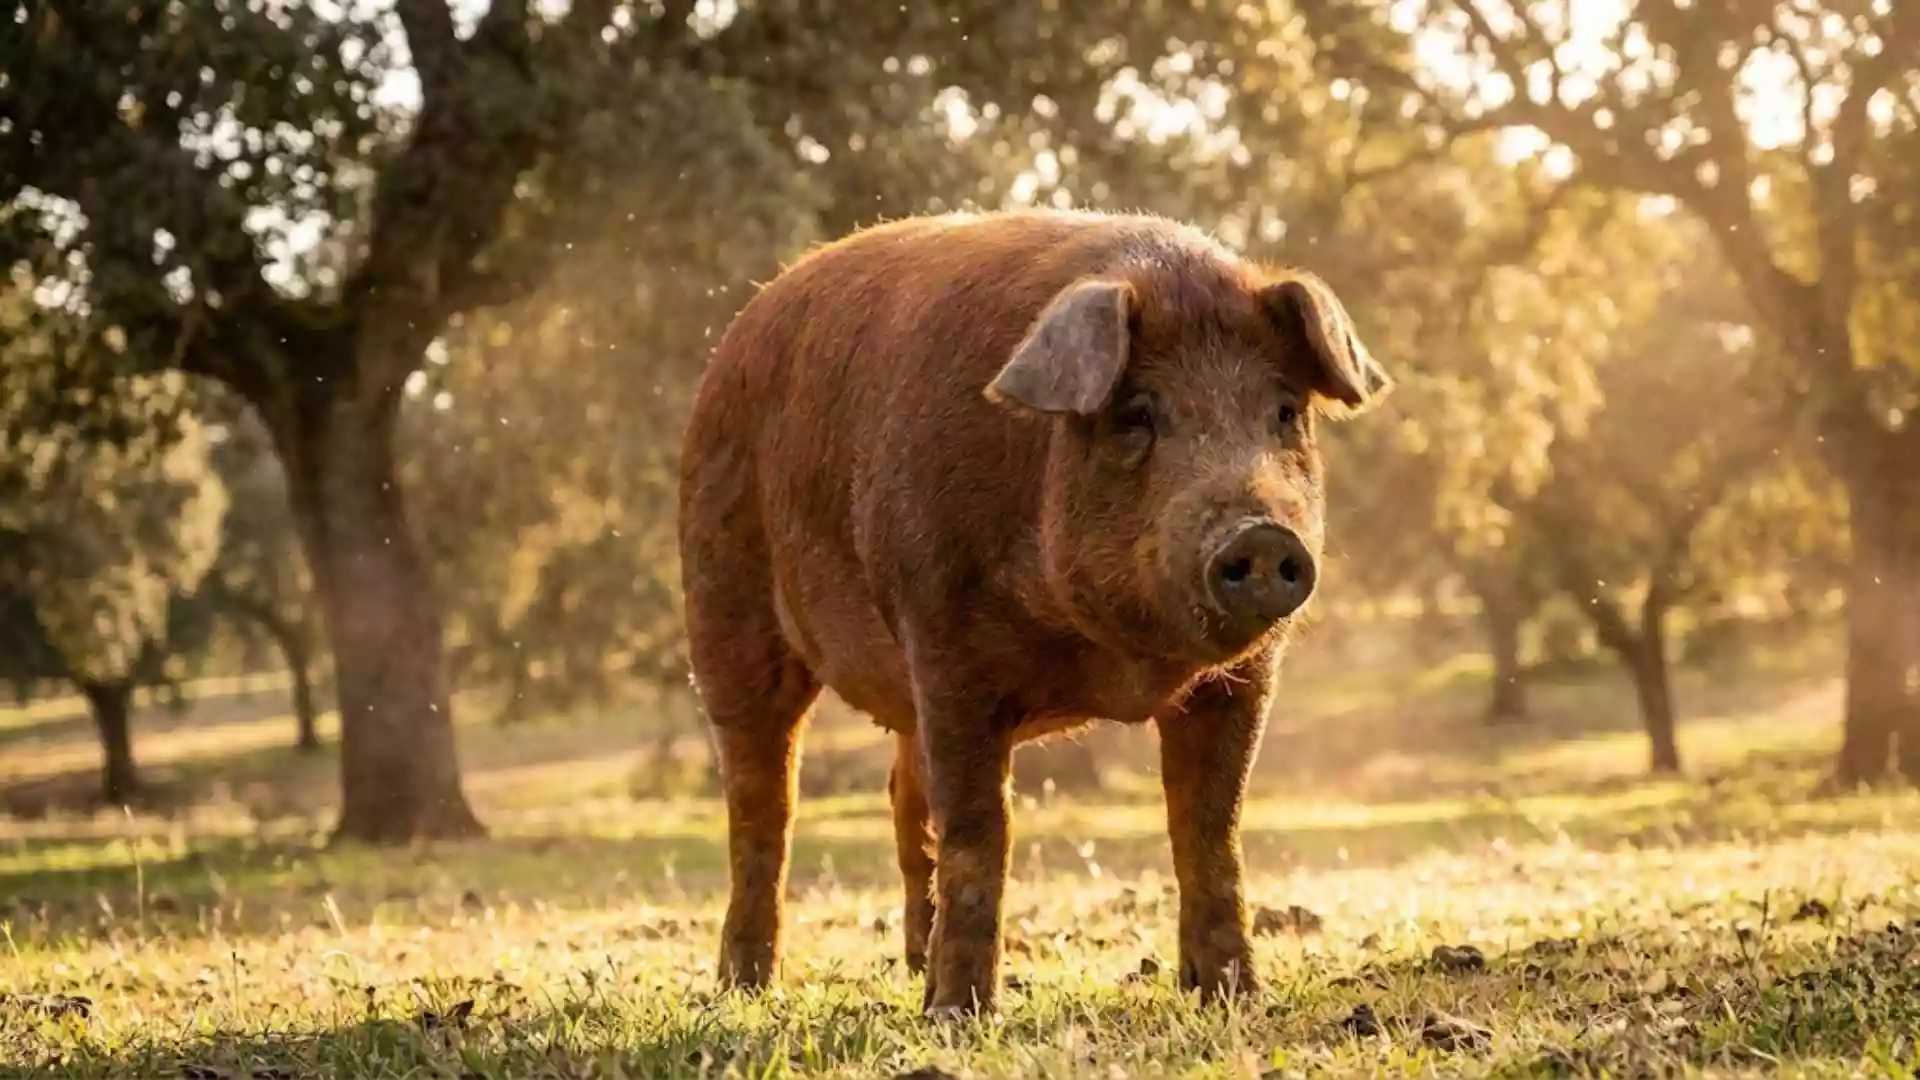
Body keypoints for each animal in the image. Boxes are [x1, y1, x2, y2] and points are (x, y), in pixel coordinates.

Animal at [676, 207, 1390, 1018]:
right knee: (762, 799)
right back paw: (746, 988)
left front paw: (1234, 997)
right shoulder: (943, 637)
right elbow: (982, 826)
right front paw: (961, 1017)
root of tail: (736, 333)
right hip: (724, 599)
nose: (1262, 534)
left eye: (1284, 412)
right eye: (1137, 414)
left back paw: (911, 968)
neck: (1117, 657)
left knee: (902, 798)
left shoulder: (1243, 678)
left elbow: (1211, 824)